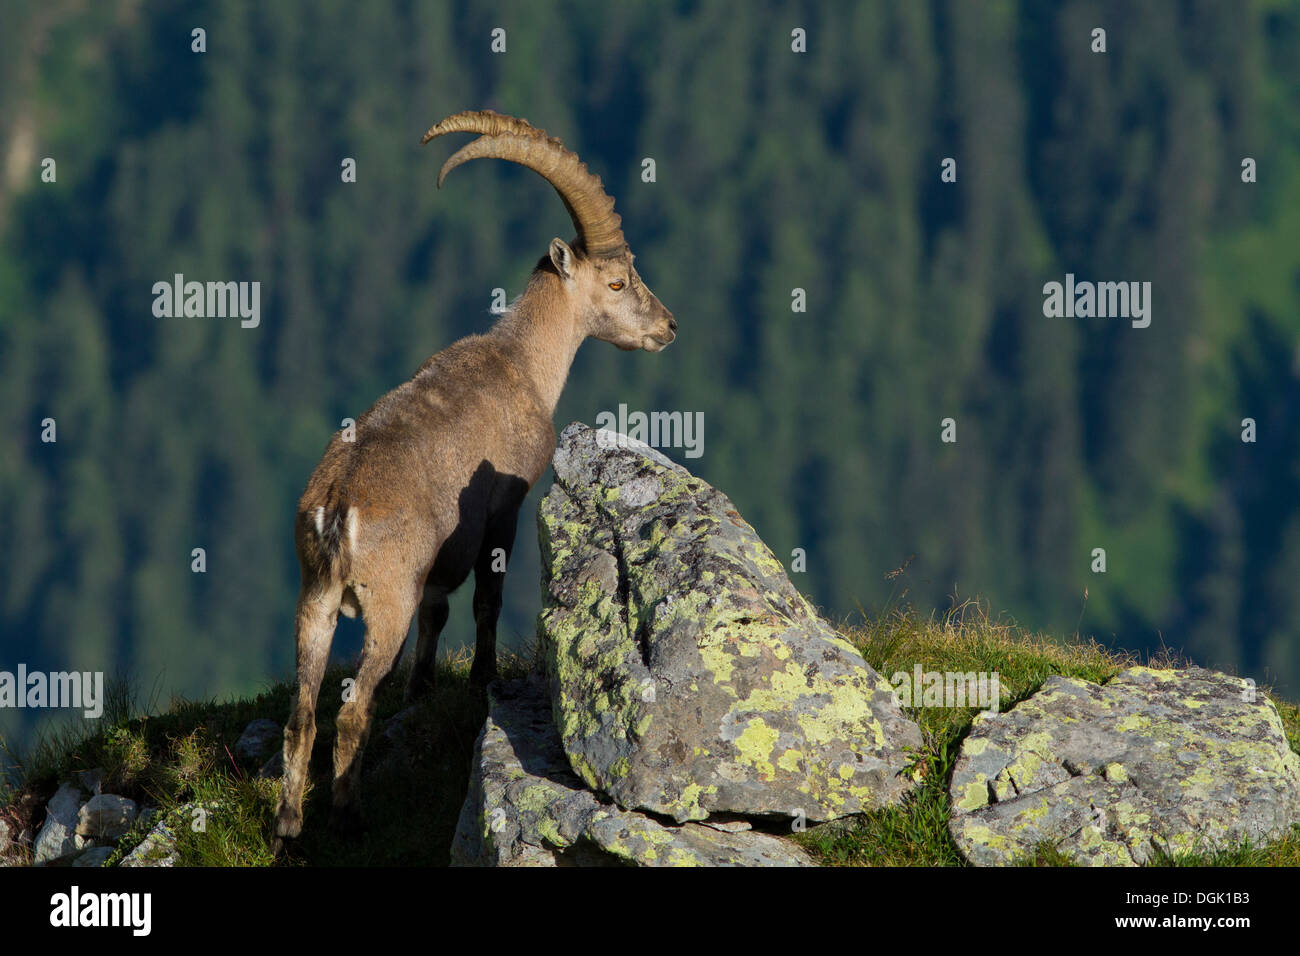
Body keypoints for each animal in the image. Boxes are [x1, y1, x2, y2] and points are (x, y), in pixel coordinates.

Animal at [272, 110, 675, 848]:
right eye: (616, 283)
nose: (668, 325)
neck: (522, 361)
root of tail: (338, 508)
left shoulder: (439, 561)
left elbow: (439, 612)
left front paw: (423, 687)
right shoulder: (504, 507)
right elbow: (487, 599)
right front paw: (483, 679)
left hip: (312, 598)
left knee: (302, 714)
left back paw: (289, 825)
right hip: (384, 602)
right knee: (351, 712)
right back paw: (347, 814)